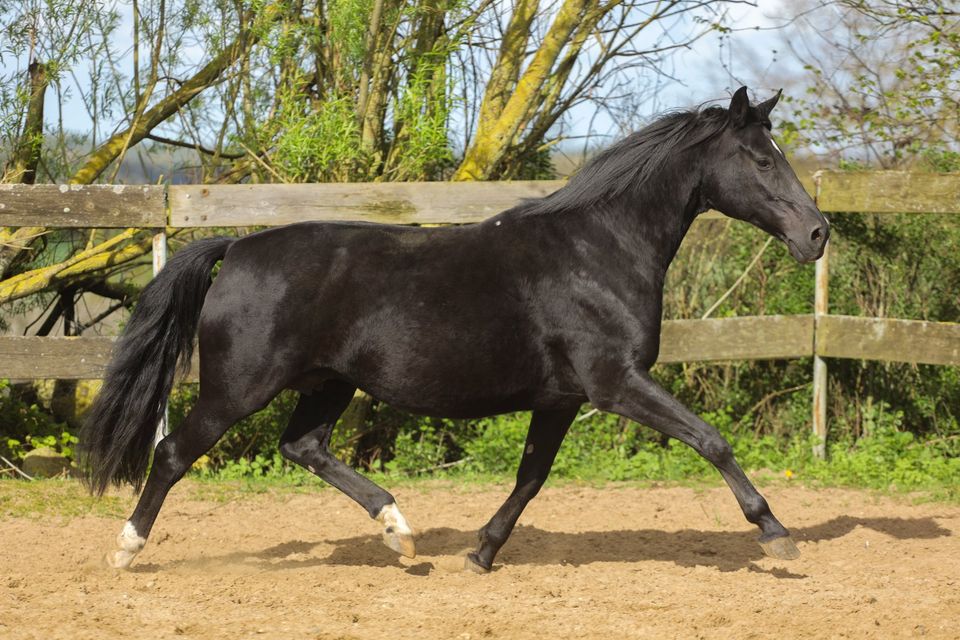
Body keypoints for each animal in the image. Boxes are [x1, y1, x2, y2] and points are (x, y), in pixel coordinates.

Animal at [82, 85, 828, 568]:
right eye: (762, 159)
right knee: (173, 453)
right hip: (239, 388)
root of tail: (236, 248)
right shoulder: (616, 382)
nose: (818, 233)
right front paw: (776, 534)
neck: (599, 249)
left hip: (328, 383)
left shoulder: (562, 398)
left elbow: (531, 477)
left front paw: (482, 552)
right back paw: (127, 550)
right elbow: (712, 440)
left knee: (304, 448)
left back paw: (401, 532)